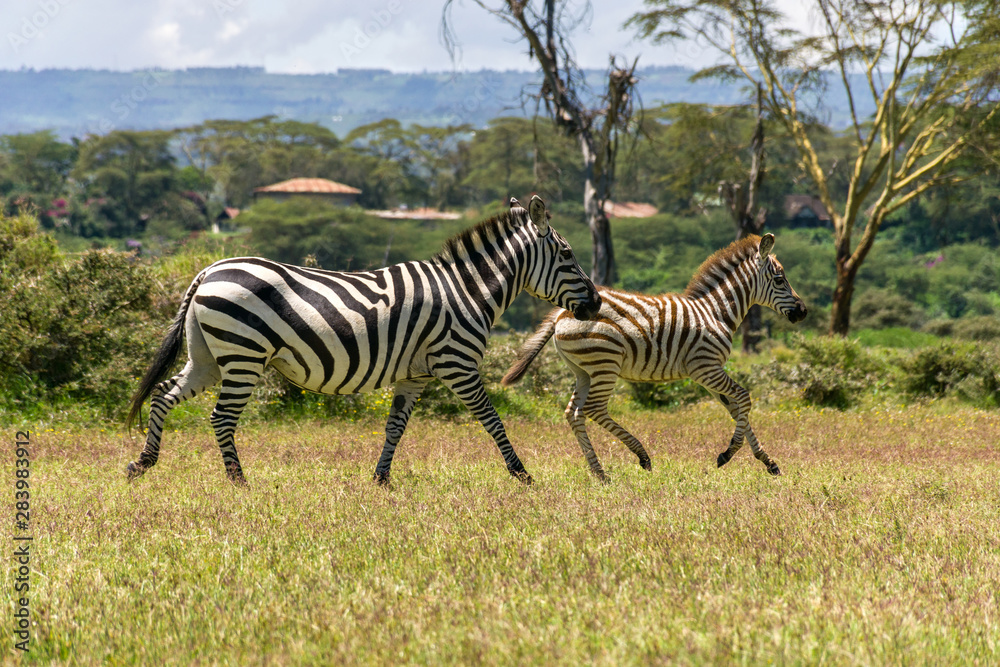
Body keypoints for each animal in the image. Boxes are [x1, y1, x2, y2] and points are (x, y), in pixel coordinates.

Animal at [125, 195, 602, 486]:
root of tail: (210, 269)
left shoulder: (415, 375)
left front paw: (381, 478)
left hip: (207, 355)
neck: (467, 290)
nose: (596, 302)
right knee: (221, 417)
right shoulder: (457, 363)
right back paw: (239, 482)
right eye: (568, 255)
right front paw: (522, 475)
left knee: (164, 395)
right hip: (243, 355)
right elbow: (492, 419)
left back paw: (142, 464)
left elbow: (395, 427)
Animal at [502, 233, 806, 481]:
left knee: (573, 413)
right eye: (780, 280)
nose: (803, 312)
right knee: (593, 409)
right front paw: (728, 453)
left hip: (583, 371)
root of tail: (561, 313)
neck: (715, 312)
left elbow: (735, 408)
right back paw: (641, 455)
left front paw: (768, 462)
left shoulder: (707, 372)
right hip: (605, 364)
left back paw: (599, 472)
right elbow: (744, 398)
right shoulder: (706, 368)